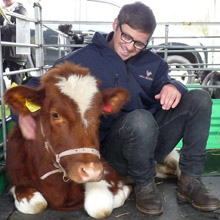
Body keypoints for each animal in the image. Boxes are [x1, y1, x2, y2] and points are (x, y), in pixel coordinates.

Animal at [4, 61, 131, 218]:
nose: (91, 171)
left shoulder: (105, 168)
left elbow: (100, 208)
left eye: (99, 115)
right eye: (55, 114)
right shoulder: (16, 179)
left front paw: (123, 190)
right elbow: (37, 205)